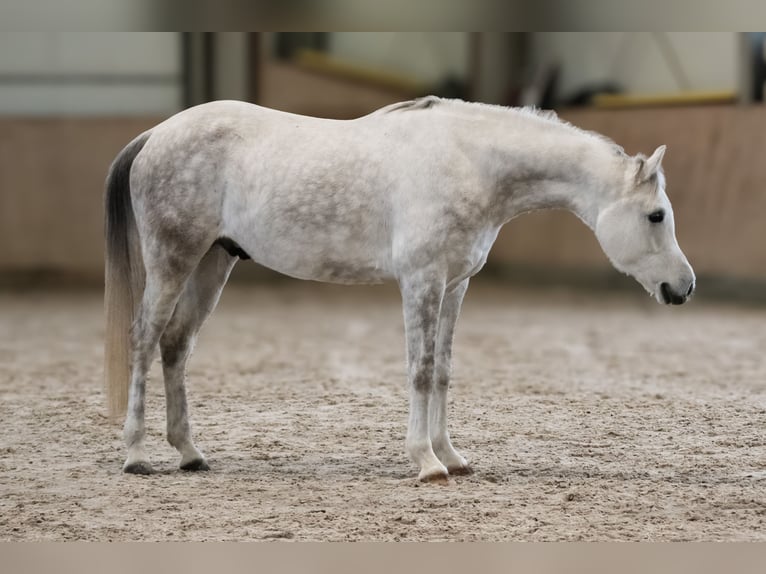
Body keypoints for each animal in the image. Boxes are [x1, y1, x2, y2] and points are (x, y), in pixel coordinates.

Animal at [102, 97, 696, 484]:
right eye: (656, 215)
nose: (684, 286)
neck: (470, 160)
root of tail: (156, 134)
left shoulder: (454, 286)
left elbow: (443, 371)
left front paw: (450, 456)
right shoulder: (421, 281)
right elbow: (419, 369)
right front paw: (426, 463)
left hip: (212, 264)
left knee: (176, 345)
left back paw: (190, 453)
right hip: (173, 261)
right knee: (143, 339)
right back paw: (136, 454)